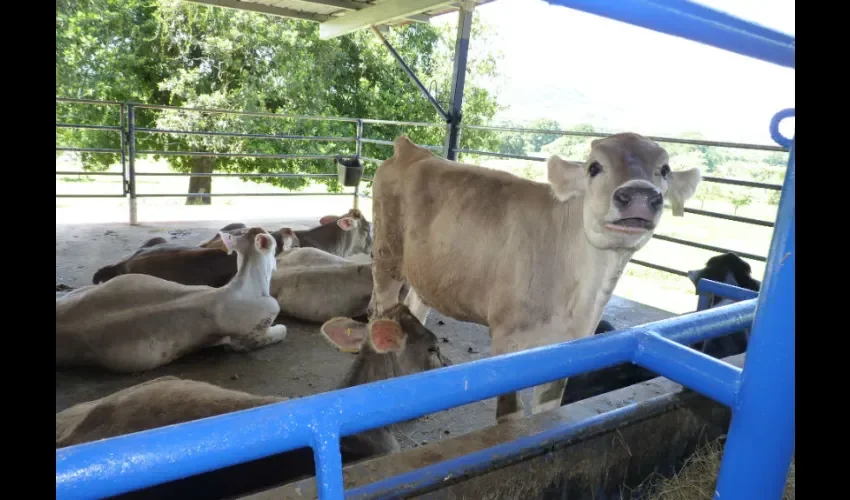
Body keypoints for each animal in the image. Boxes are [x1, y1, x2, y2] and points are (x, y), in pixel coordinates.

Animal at [368, 132, 700, 422]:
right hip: (387, 255)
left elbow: (548, 409)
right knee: (382, 307)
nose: (640, 196)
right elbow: (510, 414)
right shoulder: (506, 338)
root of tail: (411, 149)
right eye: (594, 167)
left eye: (664, 170)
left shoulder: (570, 347)